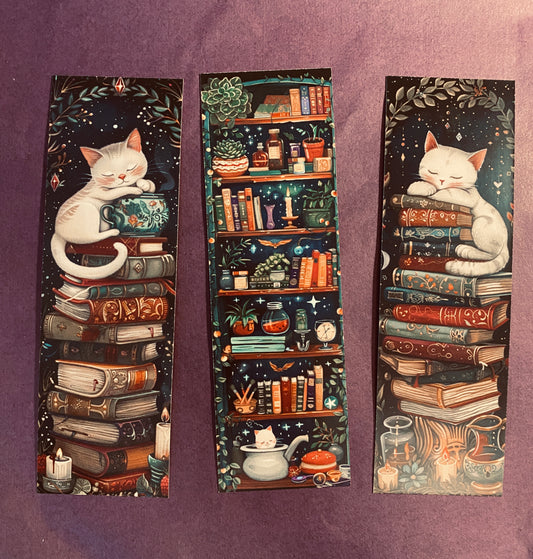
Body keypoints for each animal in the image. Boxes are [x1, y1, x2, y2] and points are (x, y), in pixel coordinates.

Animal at [51, 129, 155, 280]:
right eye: (108, 174)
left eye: (130, 168)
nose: (122, 176)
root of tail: (56, 232)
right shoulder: (101, 192)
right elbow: (118, 190)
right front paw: (135, 189)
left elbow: (149, 185)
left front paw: (145, 184)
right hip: (87, 209)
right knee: (91, 237)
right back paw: (113, 231)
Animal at [407, 131, 509, 277]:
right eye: (433, 171)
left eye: (455, 177)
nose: (442, 180)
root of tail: (506, 244)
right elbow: (412, 188)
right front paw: (424, 186)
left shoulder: (469, 196)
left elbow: (448, 192)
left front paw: (434, 191)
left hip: (481, 223)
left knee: (491, 254)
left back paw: (466, 249)